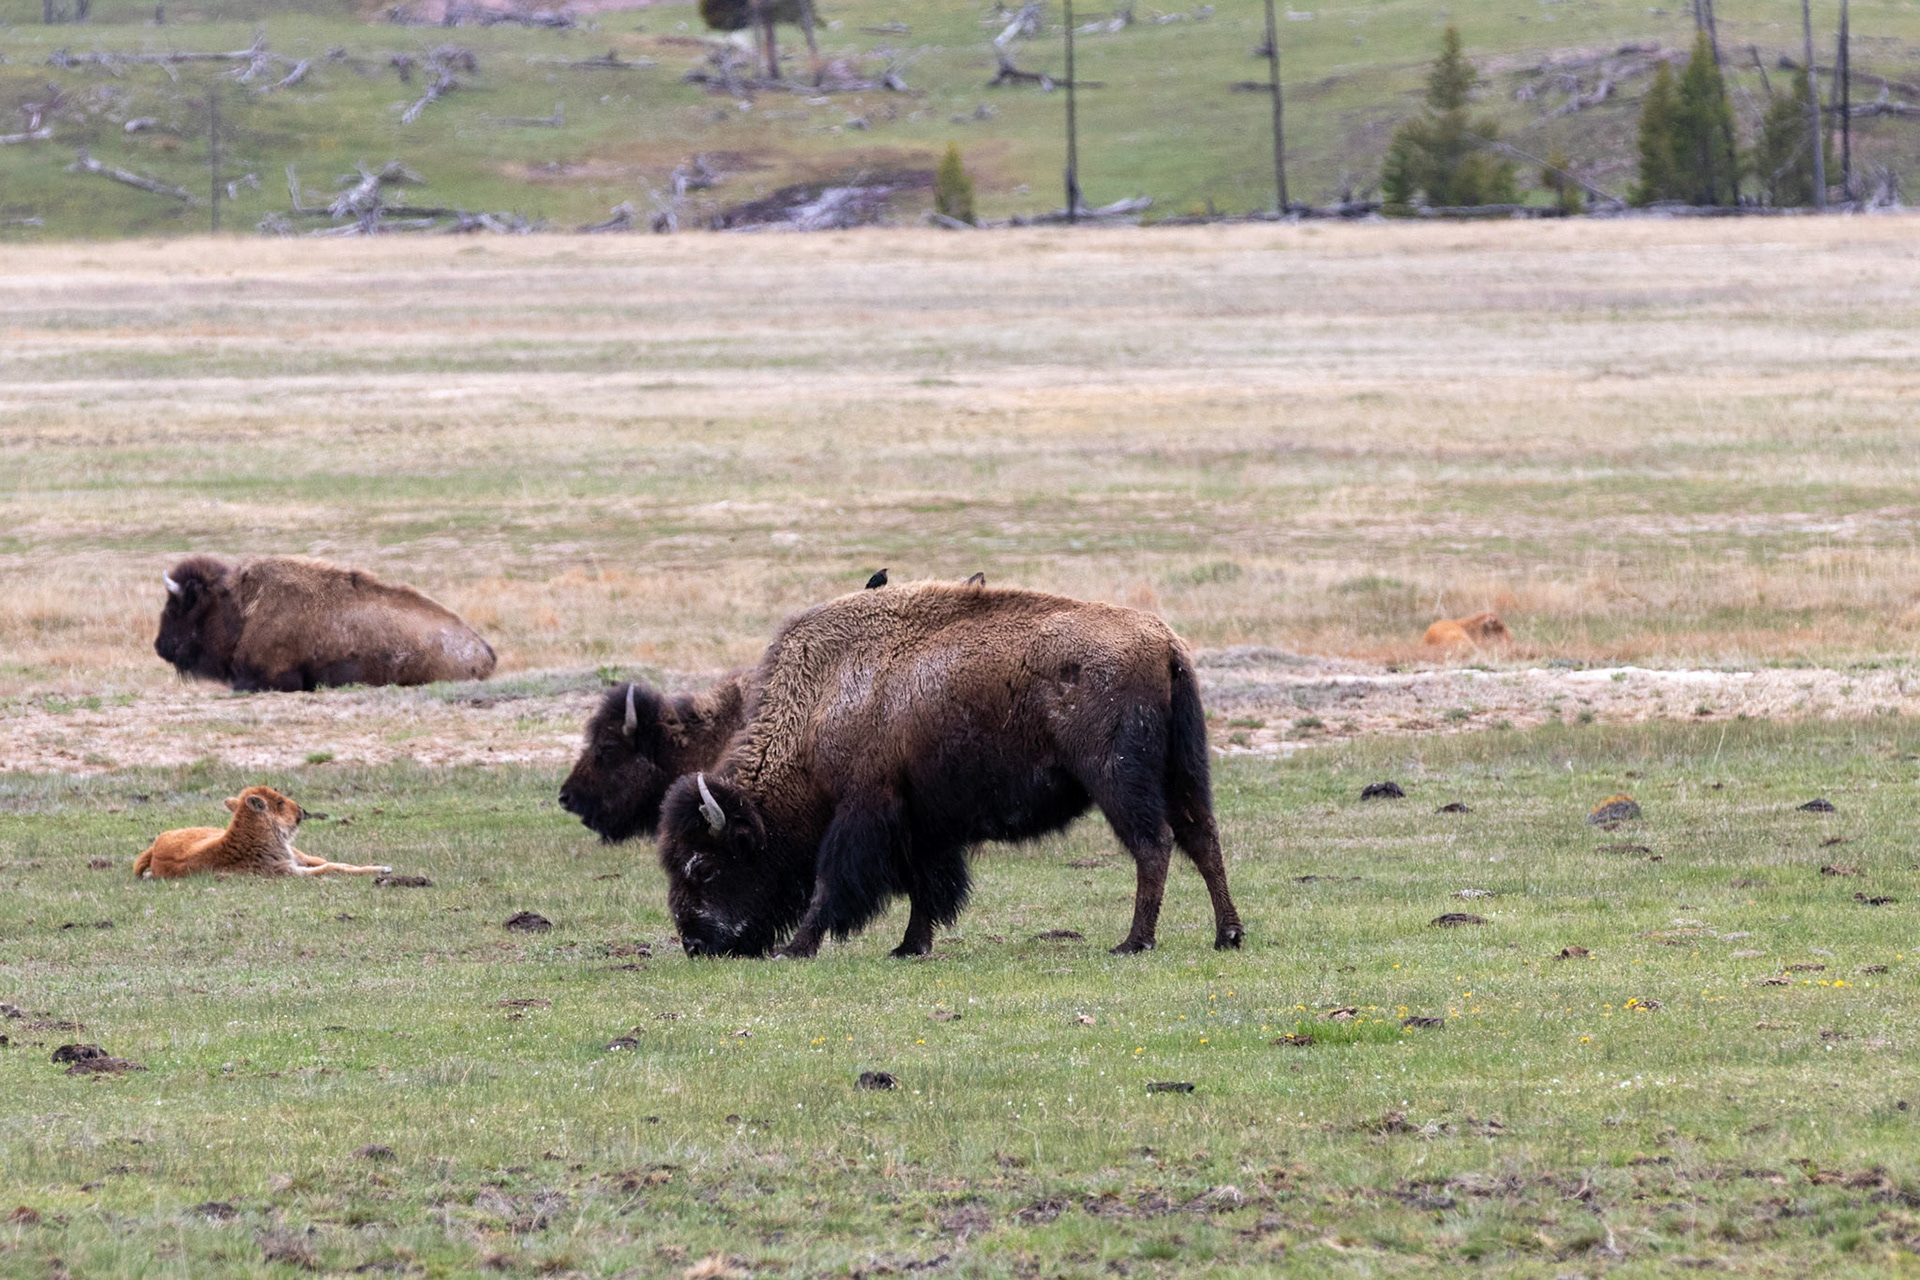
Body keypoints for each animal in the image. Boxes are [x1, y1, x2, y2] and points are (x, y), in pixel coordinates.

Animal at [133, 785, 391, 879]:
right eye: (279, 802)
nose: (301, 809)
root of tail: (155, 847)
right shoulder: (288, 870)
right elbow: (329, 867)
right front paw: (382, 869)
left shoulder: (296, 860)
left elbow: (330, 862)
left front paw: (382, 867)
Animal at [655, 582, 1246, 960]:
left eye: (702, 867)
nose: (695, 944)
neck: (822, 701)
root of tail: (1164, 643)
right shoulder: (923, 821)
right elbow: (928, 887)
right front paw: (908, 946)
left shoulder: (865, 806)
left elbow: (833, 882)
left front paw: (797, 949)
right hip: (1183, 771)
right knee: (1203, 838)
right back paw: (1228, 936)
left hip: (1118, 779)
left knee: (1155, 844)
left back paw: (1133, 943)